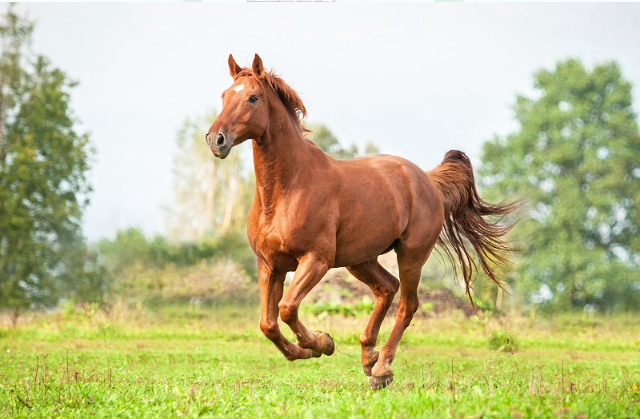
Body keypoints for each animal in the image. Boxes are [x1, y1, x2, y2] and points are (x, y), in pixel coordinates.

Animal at [206, 54, 516, 390]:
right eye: (224, 95)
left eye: (253, 97)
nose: (216, 139)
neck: (287, 190)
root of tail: (427, 180)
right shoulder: (269, 265)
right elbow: (268, 324)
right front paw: (307, 349)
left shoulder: (316, 260)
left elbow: (286, 309)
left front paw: (321, 342)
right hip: (360, 259)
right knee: (387, 288)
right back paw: (369, 356)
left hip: (411, 255)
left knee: (407, 305)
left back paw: (382, 369)